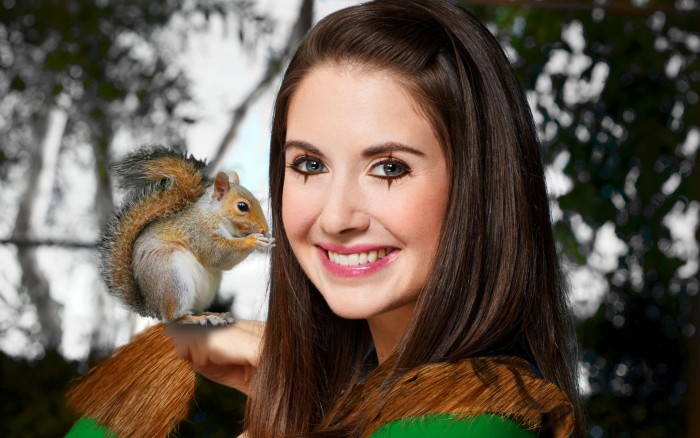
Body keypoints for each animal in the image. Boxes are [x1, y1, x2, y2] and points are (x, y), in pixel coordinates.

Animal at [100, 146, 273, 324]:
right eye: (242, 206)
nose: (263, 229)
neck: (213, 213)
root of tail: (152, 307)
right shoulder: (199, 230)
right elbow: (217, 253)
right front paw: (254, 241)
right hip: (172, 277)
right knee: (174, 317)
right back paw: (195, 319)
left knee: (194, 309)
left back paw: (213, 315)